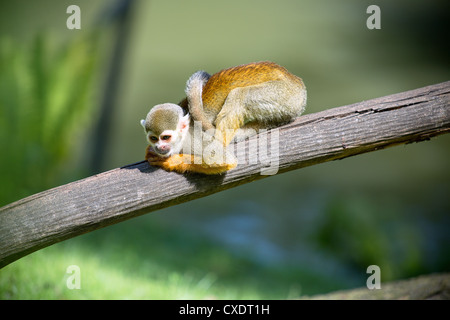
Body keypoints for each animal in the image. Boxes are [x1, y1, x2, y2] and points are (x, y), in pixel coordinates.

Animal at [142, 61, 306, 174]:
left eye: (166, 137)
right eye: (153, 138)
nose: (159, 147)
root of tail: (295, 80)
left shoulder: (196, 138)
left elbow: (221, 159)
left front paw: (174, 161)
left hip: (284, 93)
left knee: (240, 96)